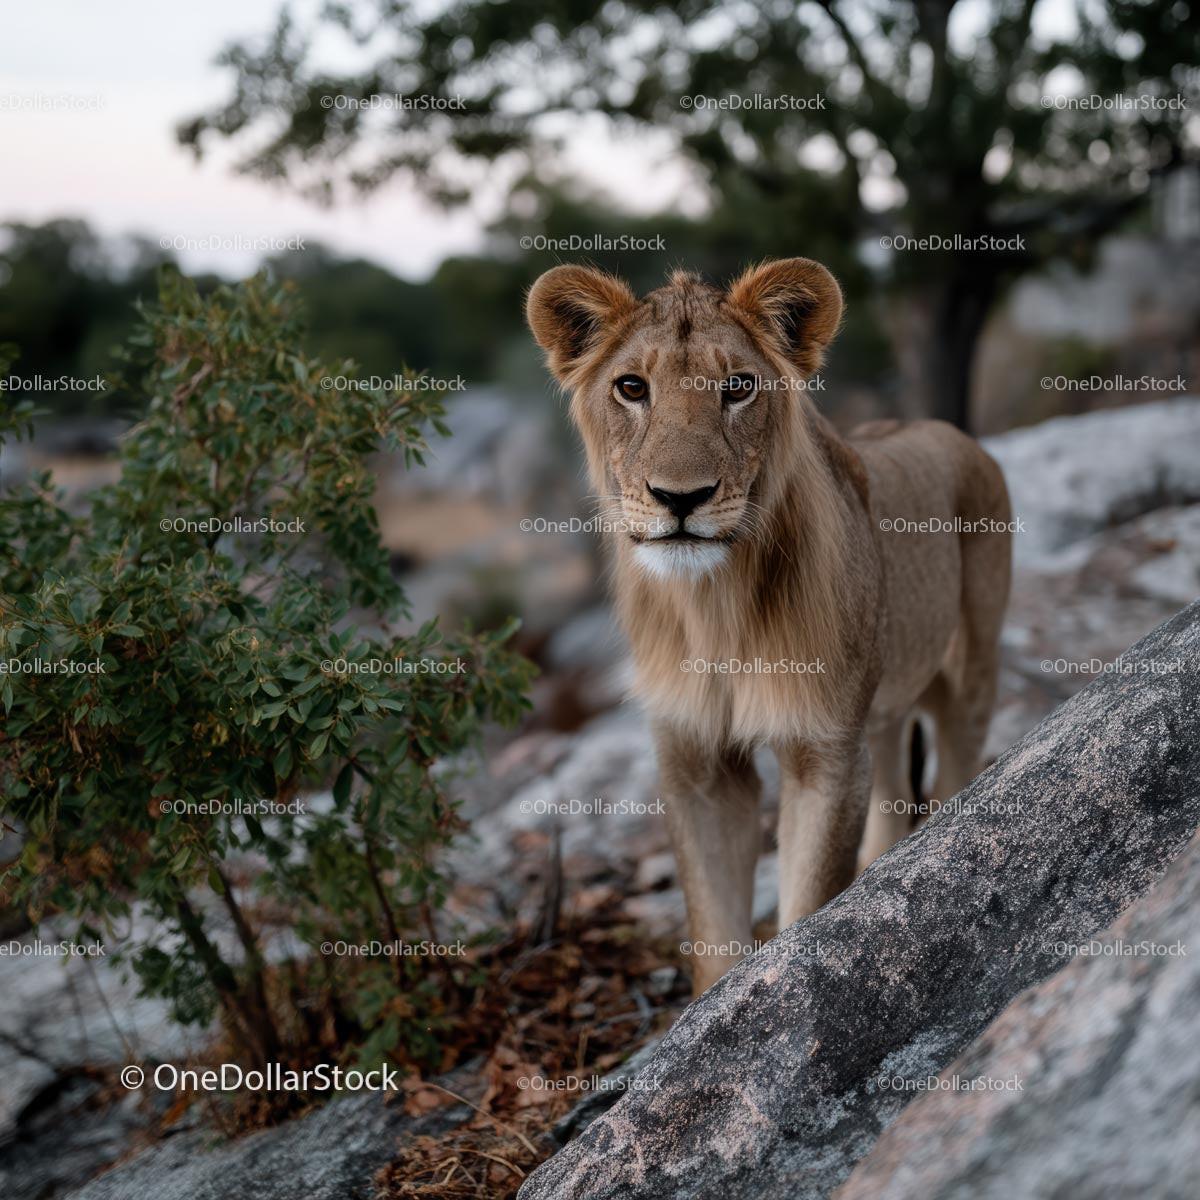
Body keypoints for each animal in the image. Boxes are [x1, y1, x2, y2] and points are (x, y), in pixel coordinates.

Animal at [527, 258, 1012, 994]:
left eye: (738, 387)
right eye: (632, 387)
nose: (681, 498)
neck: (714, 609)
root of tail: (954, 432)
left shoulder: (824, 750)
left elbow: (807, 906)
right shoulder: (696, 763)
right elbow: (714, 934)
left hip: (969, 673)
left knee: (956, 772)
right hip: (885, 701)